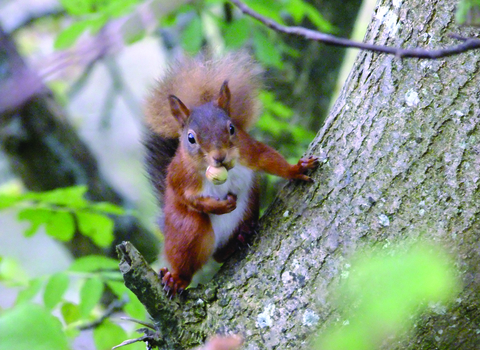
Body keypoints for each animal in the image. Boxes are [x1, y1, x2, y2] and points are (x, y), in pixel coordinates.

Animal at [145, 53, 318, 296]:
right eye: (191, 138)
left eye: (231, 128)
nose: (219, 157)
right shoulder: (180, 176)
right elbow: (189, 198)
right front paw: (220, 206)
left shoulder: (249, 150)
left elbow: (270, 160)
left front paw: (297, 169)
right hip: (186, 231)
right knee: (192, 258)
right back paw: (176, 279)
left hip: (249, 205)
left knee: (221, 253)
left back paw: (240, 237)